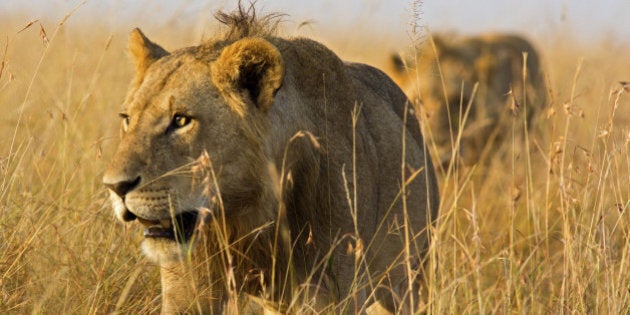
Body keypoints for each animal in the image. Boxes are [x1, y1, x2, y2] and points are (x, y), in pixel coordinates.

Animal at [102, 4, 440, 315]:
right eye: (127, 119)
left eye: (181, 120)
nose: (115, 187)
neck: (246, 215)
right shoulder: (190, 286)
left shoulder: (331, 292)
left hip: (409, 276)